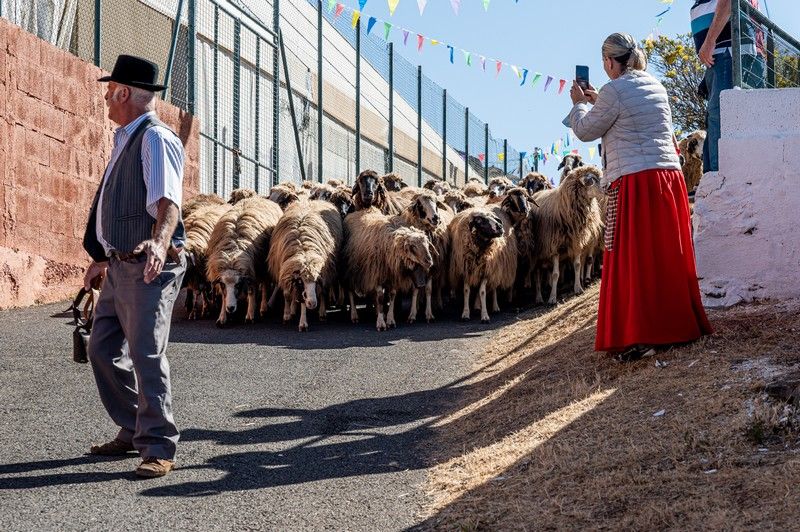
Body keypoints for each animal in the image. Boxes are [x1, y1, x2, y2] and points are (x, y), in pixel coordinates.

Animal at [206, 196, 284, 324]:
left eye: (238, 285)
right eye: (223, 284)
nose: (230, 308)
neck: (232, 255)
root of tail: (259, 197)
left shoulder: (251, 269)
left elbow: (252, 291)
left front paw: (250, 314)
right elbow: (223, 296)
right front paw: (222, 316)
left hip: (264, 264)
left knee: (265, 284)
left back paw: (263, 307)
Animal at [268, 201, 344, 330]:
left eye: (316, 281)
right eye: (301, 281)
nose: (313, 304)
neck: (303, 249)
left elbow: (307, 298)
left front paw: (303, 323)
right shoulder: (286, 273)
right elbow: (288, 295)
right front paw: (287, 315)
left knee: (322, 292)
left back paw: (322, 313)